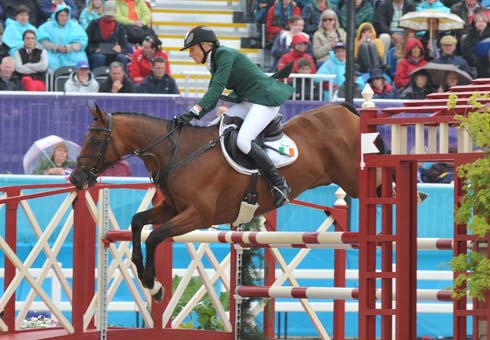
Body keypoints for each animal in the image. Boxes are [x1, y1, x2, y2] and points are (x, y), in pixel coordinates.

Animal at [69, 101, 360, 300]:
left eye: (95, 139)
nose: (75, 178)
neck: (177, 153)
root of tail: (344, 110)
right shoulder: (172, 208)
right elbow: (138, 221)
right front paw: (148, 280)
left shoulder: (198, 215)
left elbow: (154, 237)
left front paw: (153, 283)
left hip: (353, 179)